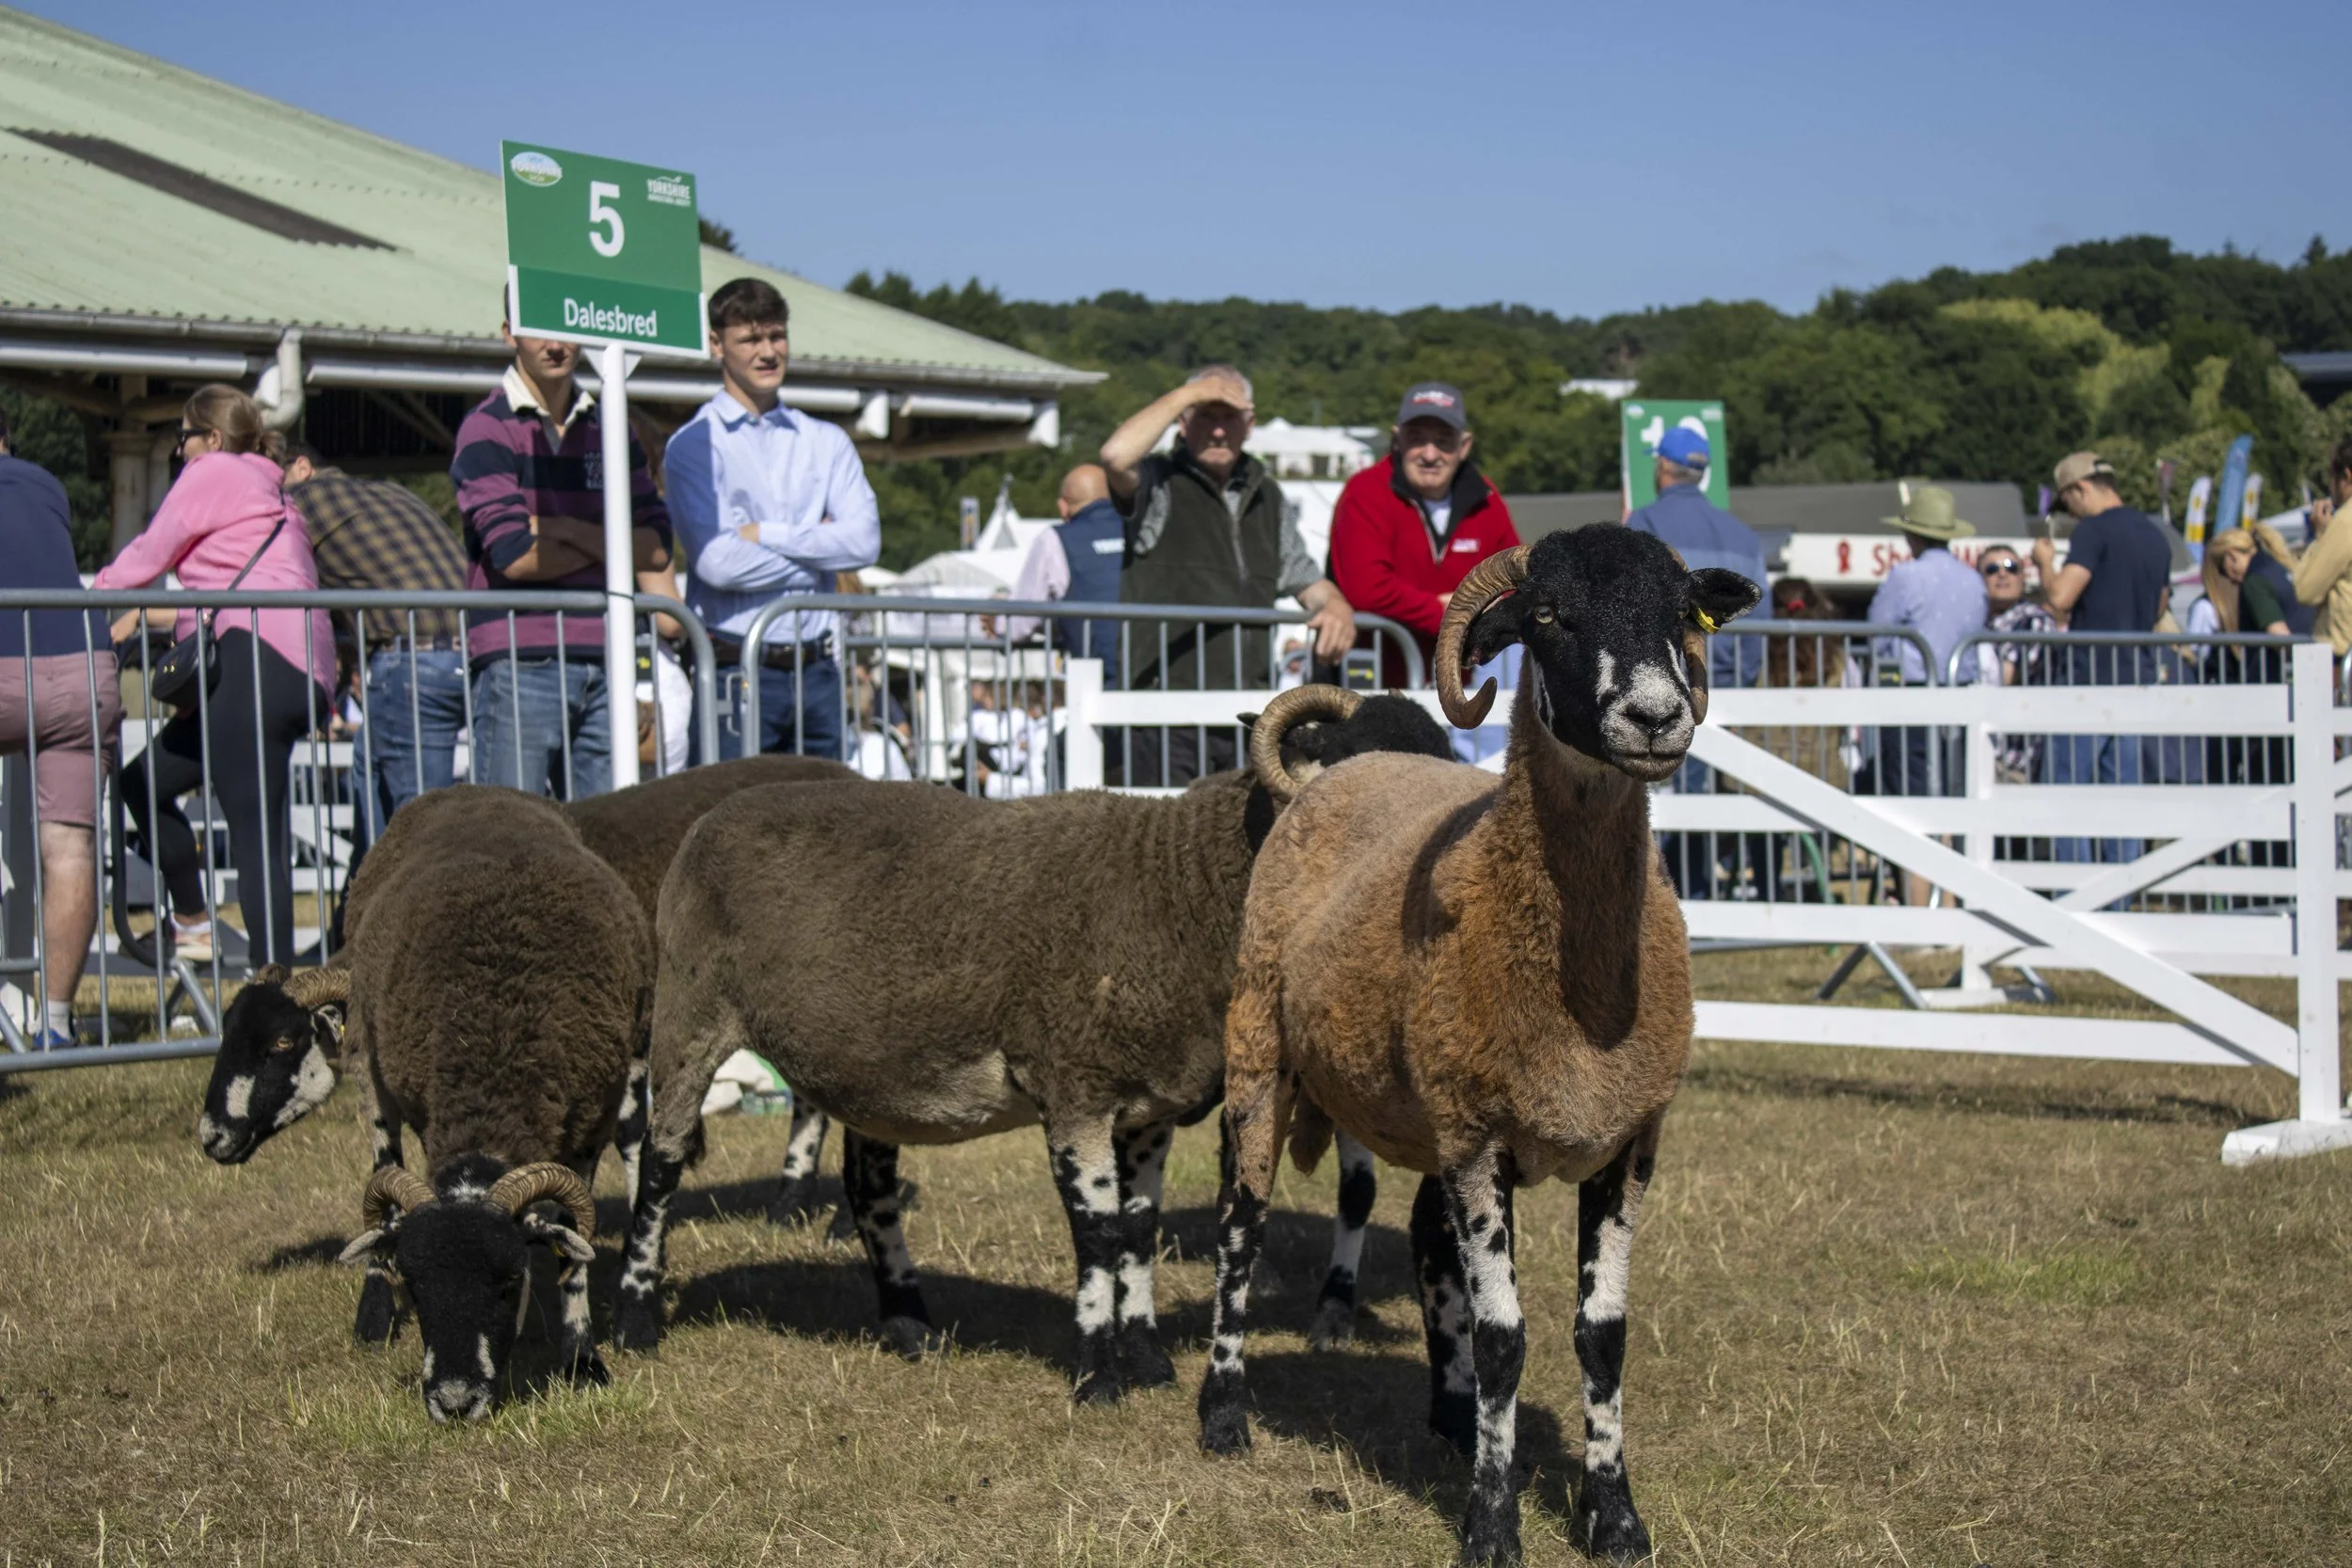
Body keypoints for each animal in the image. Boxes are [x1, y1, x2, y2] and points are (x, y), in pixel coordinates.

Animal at [316, 786, 651, 1421]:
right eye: (416, 1284)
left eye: (509, 1280)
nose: (454, 1400)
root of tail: (472, 787)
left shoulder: (592, 1125)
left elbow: (573, 1251)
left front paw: (581, 1360)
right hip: (368, 1062)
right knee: (381, 1164)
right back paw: (372, 1317)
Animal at [613, 692, 1456, 1404]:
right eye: (1357, 780)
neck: (1178, 884)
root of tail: (717, 813)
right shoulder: (1074, 1082)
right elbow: (1097, 1230)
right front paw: (1097, 1374)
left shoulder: (1146, 1104)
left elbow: (1139, 1230)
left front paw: (1146, 1358)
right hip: (691, 1013)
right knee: (660, 1159)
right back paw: (635, 1318)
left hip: (868, 1068)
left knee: (869, 1189)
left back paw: (909, 1322)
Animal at [1194, 529, 1760, 1566]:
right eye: (1547, 616)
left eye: (1679, 613)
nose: (1656, 716)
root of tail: (1340, 772)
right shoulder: (1478, 1142)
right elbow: (1506, 1337)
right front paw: (1492, 1524)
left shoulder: (1628, 1144)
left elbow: (1602, 1334)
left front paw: (1615, 1517)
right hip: (1260, 1049)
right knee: (1240, 1224)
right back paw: (1223, 1413)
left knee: (1424, 1235)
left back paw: (1453, 1415)